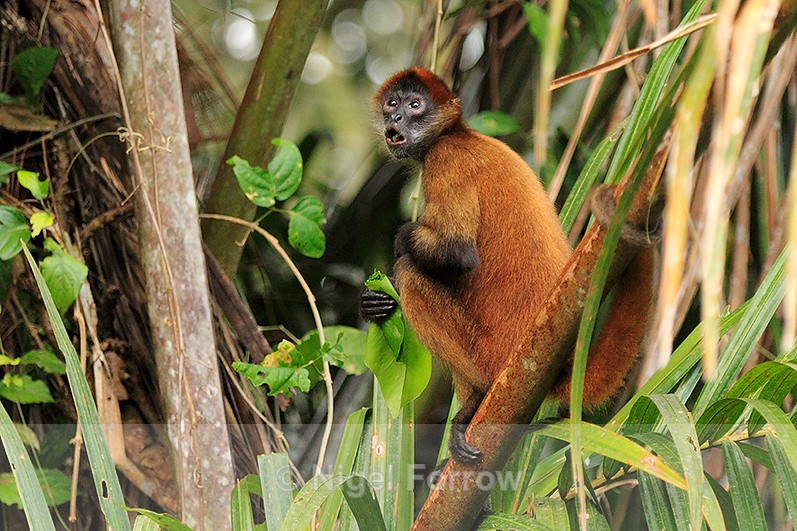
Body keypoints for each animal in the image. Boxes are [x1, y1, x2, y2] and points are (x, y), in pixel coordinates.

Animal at [361, 68, 657, 464]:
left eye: (414, 106)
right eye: (392, 103)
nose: (395, 118)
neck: (460, 133)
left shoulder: (446, 159)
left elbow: (457, 254)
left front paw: (399, 243)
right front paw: (373, 304)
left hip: (489, 352)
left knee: (411, 274)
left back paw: (477, 398)